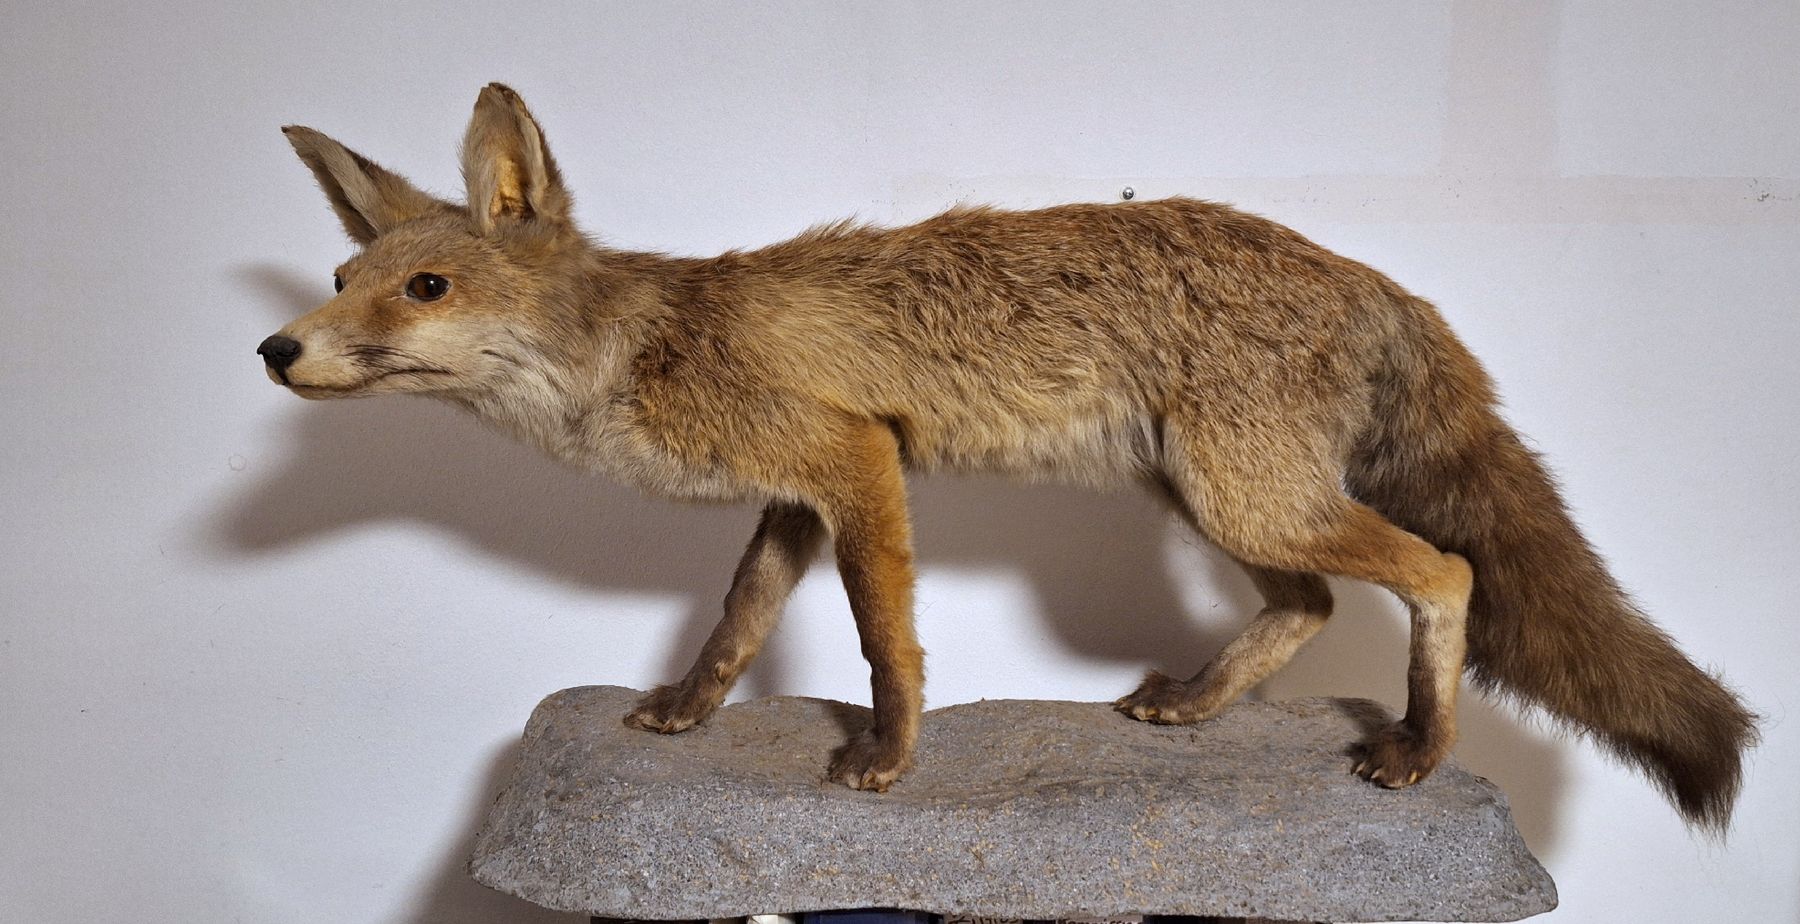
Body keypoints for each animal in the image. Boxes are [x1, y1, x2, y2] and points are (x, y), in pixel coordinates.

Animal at [261, 83, 1755, 829]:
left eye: (425, 289)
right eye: (342, 278)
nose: (276, 350)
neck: (648, 348)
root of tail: (1373, 276)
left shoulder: (856, 460)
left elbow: (886, 639)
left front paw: (886, 762)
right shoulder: (799, 493)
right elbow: (737, 621)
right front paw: (685, 713)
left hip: (1248, 498)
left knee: (1441, 571)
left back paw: (1421, 750)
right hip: (1214, 496)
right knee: (1315, 601)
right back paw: (1195, 707)